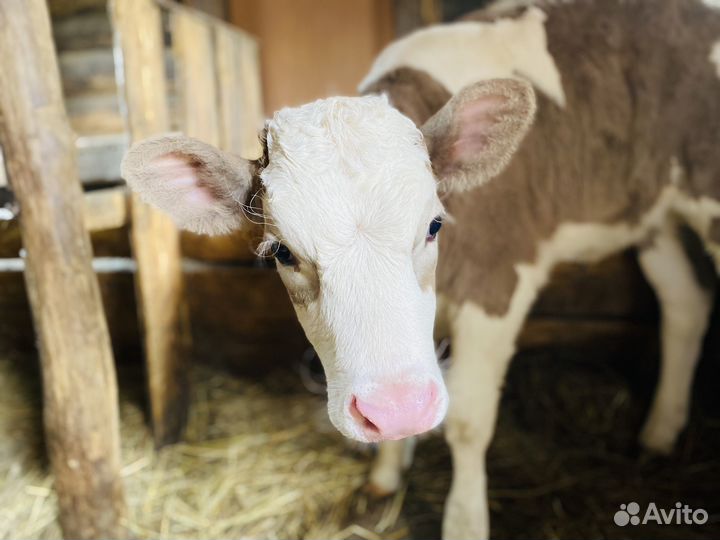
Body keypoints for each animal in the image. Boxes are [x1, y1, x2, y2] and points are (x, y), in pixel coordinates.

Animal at [121, 0, 720, 538]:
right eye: (282, 252)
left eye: (434, 225)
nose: (397, 410)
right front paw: (385, 478)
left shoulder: (498, 282)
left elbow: (469, 422)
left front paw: (465, 522)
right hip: (652, 213)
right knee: (686, 302)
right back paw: (659, 433)